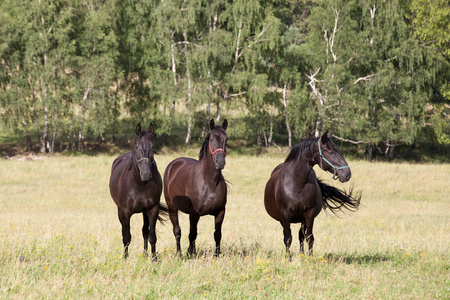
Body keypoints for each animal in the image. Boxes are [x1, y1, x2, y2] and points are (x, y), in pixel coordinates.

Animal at [109, 123, 167, 258]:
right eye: (136, 146)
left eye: (153, 146)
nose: (145, 174)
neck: (140, 184)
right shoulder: (124, 212)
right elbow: (126, 237)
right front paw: (125, 258)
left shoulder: (152, 210)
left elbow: (152, 235)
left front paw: (154, 258)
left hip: (144, 212)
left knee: (145, 231)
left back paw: (145, 255)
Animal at [163, 118, 229, 256]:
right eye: (211, 139)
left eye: (226, 139)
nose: (220, 162)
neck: (209, 183)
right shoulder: (194, 213)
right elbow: (192, 234)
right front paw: (191, 253)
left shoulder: (220, 212)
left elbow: (217, 234)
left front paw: (217, 254)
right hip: (172, 208)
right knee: (177, 231)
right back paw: (179, 253)